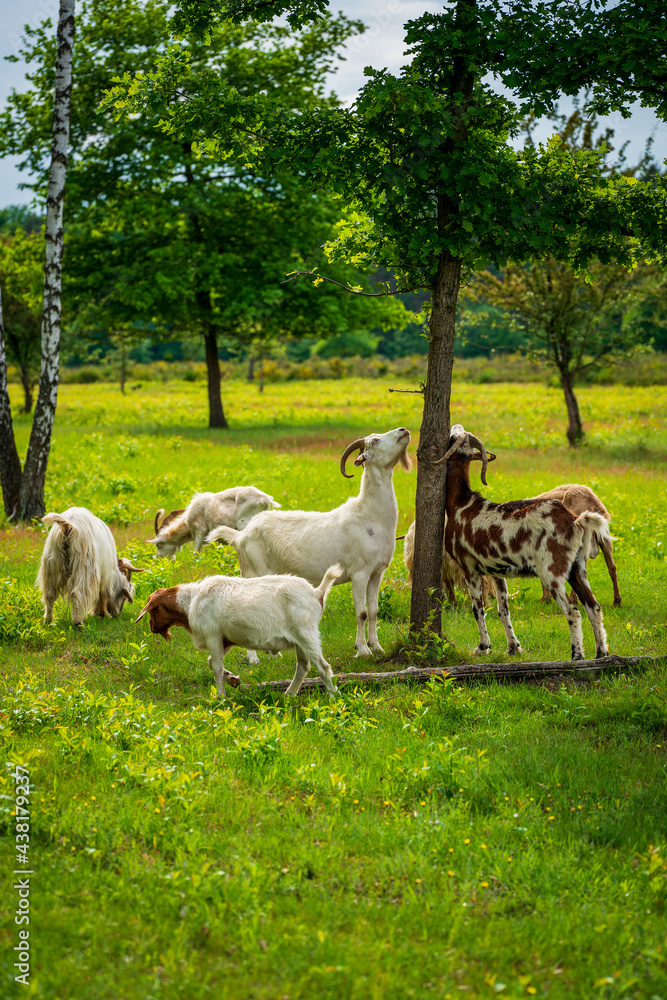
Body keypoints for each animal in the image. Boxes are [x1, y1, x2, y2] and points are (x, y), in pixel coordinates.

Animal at [135, 565, 342, 698]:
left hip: (306, 633)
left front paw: (220, 697)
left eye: (153, 610)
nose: (152, 628)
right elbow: (212, 662)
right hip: (300, 640)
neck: (192, 600)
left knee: (323, 667)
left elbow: (216, 667)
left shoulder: (212, 635)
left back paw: (333, 697)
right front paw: (233, 680)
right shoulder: (225, 639)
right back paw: (289, 694)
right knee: (303, 666)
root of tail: (317, 593)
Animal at [206, 427, 412, 662]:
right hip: (253, 572)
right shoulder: (359, 573)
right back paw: (253, 658)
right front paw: (362, 650)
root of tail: (240, 536)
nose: (403, 430)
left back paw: (274, 653)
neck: (369, 516)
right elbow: (361, 613)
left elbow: (374, 611)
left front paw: (377, 647)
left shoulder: (376, 573)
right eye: (375, 441)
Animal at [433, 425, 610, 660]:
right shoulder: (496, 571)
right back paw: (601, 653)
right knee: (593, 606)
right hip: (577, 568)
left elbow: (478, 609)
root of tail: (575, 520)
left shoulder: (469, 566)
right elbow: (503, 610)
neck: (460, 504)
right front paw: (513, 647)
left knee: (573, 611)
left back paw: (577, 656)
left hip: (551, 572)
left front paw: (483, 647)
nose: (456, 426)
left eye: (454, 437)